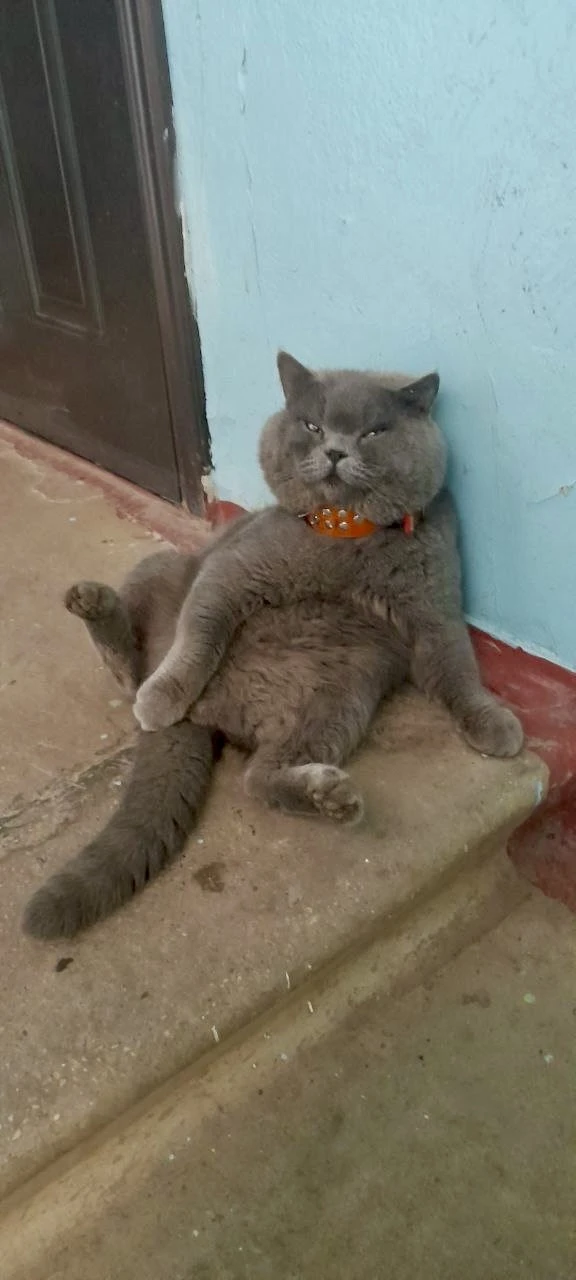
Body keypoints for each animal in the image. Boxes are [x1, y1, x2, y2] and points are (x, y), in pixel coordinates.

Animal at [23, 352, 523, 940]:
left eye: (374, 432)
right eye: (313, 425)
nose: (335, 451)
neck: (346, 542)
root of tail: (210, 716)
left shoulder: (436, 613)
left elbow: (459, 672)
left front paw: (493, 724)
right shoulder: (232, 568)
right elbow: (199, 631)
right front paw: (166, 694)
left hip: (340, 696)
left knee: (258, 779)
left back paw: (331, 798)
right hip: (163, 566)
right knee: (134, 672)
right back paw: (111, 631)